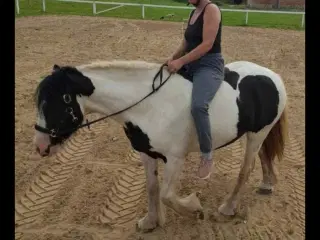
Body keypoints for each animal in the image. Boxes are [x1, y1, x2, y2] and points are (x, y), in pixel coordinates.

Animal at [32, 59, 288, 232]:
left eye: (60, 99)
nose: (40, 146)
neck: (150, 106)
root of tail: (273, 77)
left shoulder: (175, 158)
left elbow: (166, 195)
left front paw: (194, 209)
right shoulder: (146, 154)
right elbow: (153, 188)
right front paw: (150, 222)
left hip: (257, 134)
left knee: (246, 169)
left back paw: (228, 207)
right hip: (258, 135)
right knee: (264, 157)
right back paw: (267, 184)